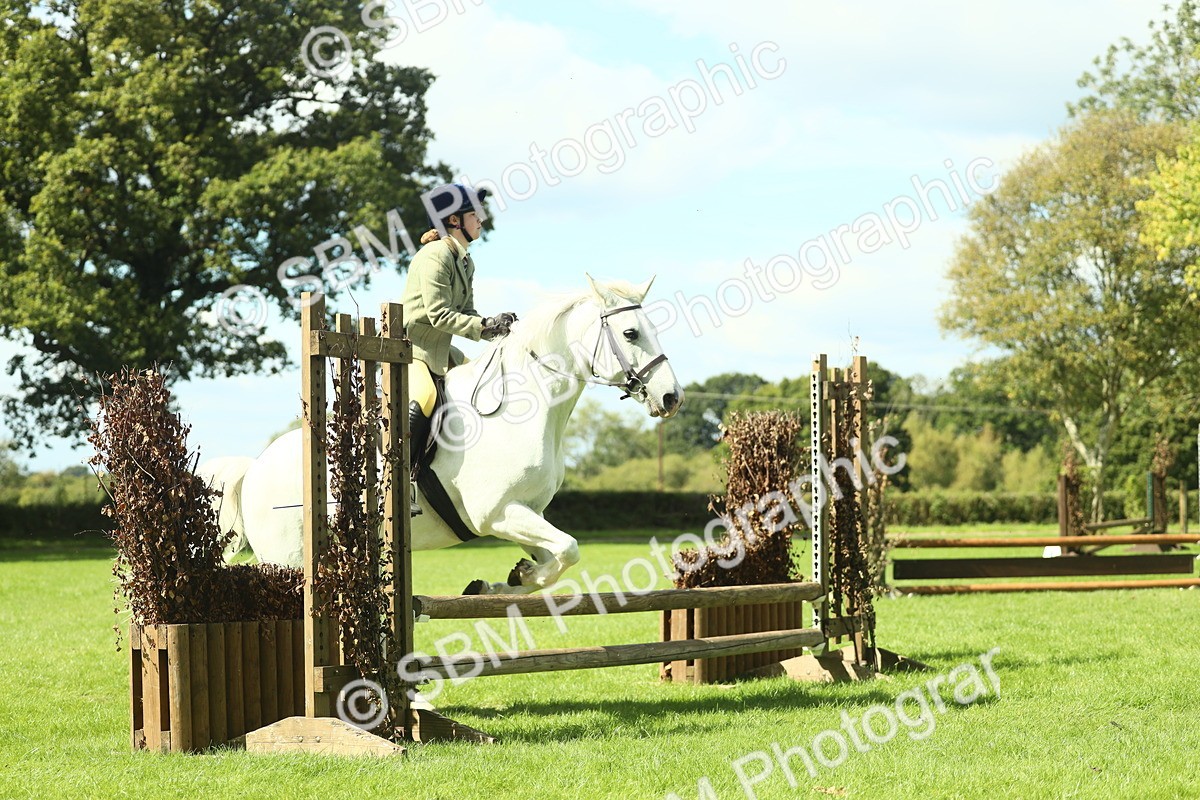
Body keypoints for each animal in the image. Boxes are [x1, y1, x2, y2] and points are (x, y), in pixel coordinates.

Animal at [197, 276, 684, 594]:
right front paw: (513, 578)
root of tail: (255, 468)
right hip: (290, 558)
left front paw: (507, 581)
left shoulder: (527, 513)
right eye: (630, 332)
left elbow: (557, 557)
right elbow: (570, 548)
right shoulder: (497, 513)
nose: (672, 397)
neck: (525, 408)